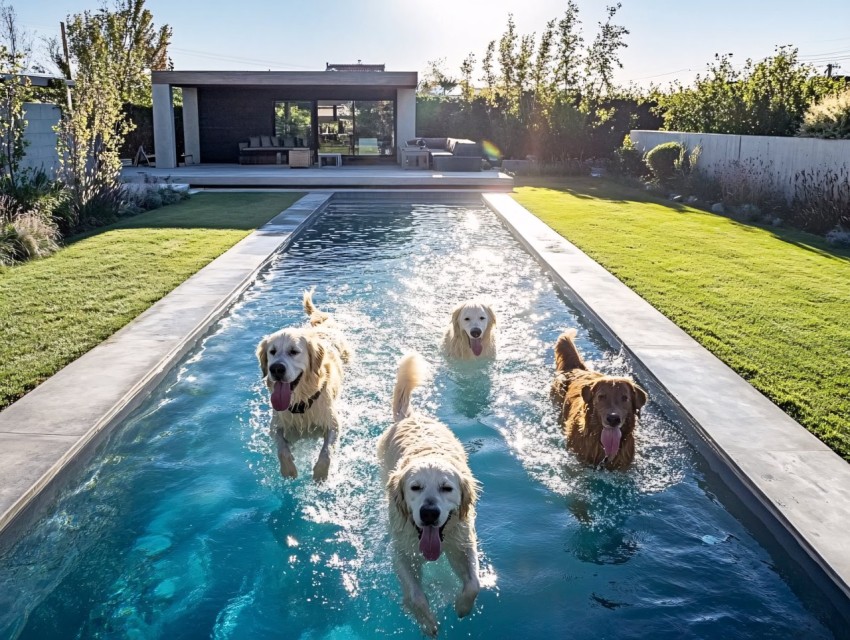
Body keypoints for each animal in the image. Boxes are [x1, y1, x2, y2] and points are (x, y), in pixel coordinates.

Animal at [258, 290, 352, 480]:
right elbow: (281, 447)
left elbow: (327, 450)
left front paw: (320, 473)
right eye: (272, 352)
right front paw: (288, 469)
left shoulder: (333, 422)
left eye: (294, 352)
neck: (300, 402)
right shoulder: (276, 423)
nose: (276, 369)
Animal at [376, 352, 476, 636]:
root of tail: (408, 416)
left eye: (447, 488)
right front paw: (427, 622)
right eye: (415, 487)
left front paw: (462, 607)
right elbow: (415, 595)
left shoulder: (462, 540)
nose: (429, 513)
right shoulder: (402, 550)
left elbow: (474, 584)